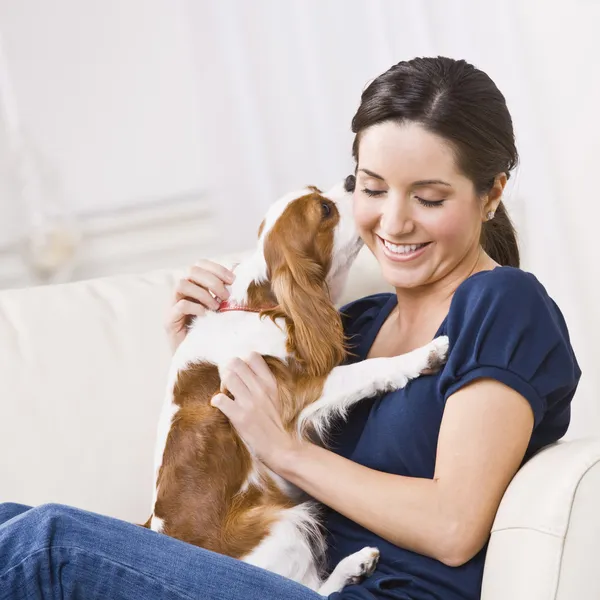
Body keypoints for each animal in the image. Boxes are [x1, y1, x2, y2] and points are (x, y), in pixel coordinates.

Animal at [143, 179, 448, 596]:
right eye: (325, 210)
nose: (352, 181)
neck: (261, 306)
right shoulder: (294, 392)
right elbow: (369, 370)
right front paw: (424, 355)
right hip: (284, 525)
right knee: (314, 591)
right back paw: (354, 566)